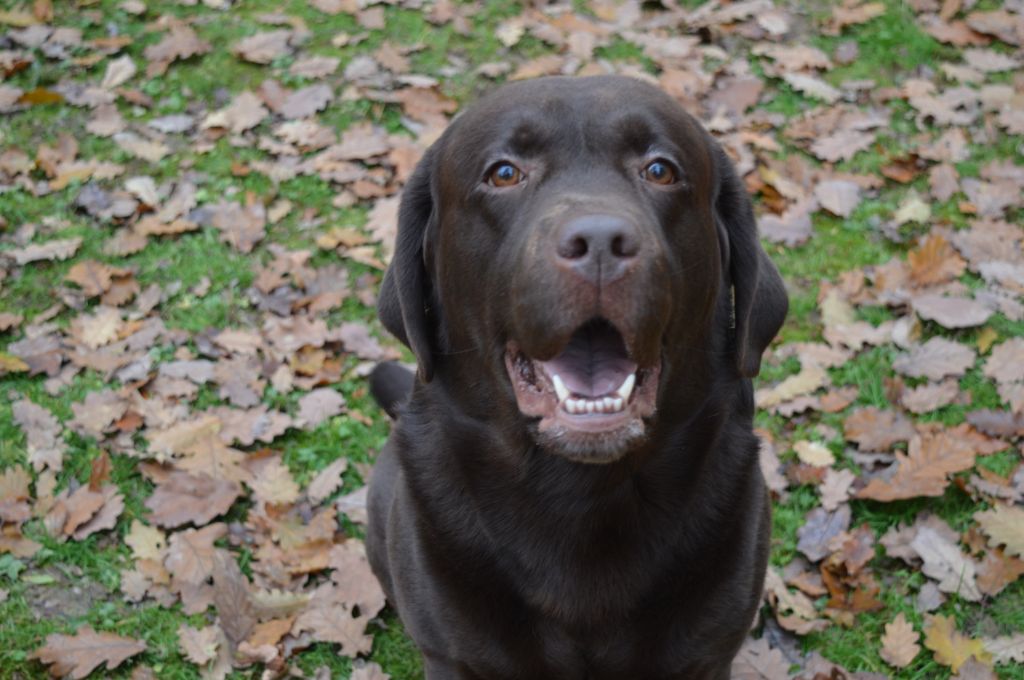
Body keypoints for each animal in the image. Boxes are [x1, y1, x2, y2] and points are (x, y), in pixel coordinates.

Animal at [364, 75, 786, 680]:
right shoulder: (452, 657)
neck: (582, 497)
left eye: (660, 169)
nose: (601, 242)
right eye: (504, 173)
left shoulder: (708, 655)